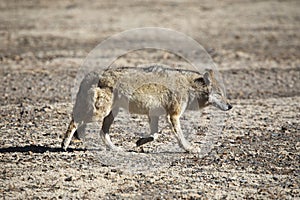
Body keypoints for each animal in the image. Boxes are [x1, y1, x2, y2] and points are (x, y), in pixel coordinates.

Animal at [61, 64, 232, 153]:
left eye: (224, 95)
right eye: (220, 94)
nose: (230, 106)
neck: (189, 88)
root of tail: (91, 74)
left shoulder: (154, 115)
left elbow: (154, 135)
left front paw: (139, 142)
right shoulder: (173, 116)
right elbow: (180, 137)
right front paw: (189, 148)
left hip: (110, 114)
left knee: (102, 133)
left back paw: (115, 149)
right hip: (99, 113)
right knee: (75, 121)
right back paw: (64, 144)